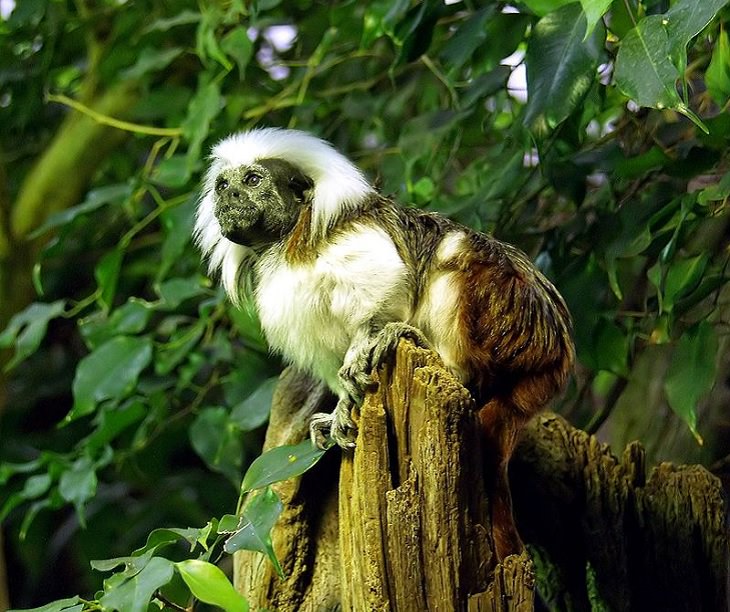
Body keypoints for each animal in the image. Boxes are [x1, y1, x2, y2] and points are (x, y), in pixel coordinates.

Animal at [195, 128, 576, 560]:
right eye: (223, 185)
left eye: (252, 180)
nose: (229, 196)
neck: (286, 238)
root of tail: (556, 355)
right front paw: (341, 408)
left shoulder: (347, 240)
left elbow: (381, 288)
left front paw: (363, 350)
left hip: (509, 317)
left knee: (454, 258)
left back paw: (435, 353)